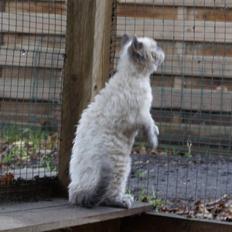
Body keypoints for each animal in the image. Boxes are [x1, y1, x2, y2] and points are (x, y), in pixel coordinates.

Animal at [68, 34, 165, 208]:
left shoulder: (142, 114)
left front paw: (156, 131)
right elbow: (149, 125)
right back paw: (124, 200)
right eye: (156, 47)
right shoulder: (139, 115)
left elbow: (152, 124)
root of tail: (76, 196)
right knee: (107, 197)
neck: (136, 75)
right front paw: (154, 141)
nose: (163, 50)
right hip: (122, 164)